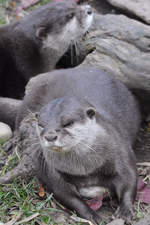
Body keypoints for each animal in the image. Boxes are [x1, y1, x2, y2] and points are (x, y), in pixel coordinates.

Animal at [0, 67, 141, 224]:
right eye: (41, 125)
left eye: (67, 123)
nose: (50, 136)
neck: (85, 169)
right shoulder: (52, 171)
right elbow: (67, 196)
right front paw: (92, 215)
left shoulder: (120, 151)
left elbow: (129, 179)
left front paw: (125, 211)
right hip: (29, 101)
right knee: (18, 122)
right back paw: (11, 143)